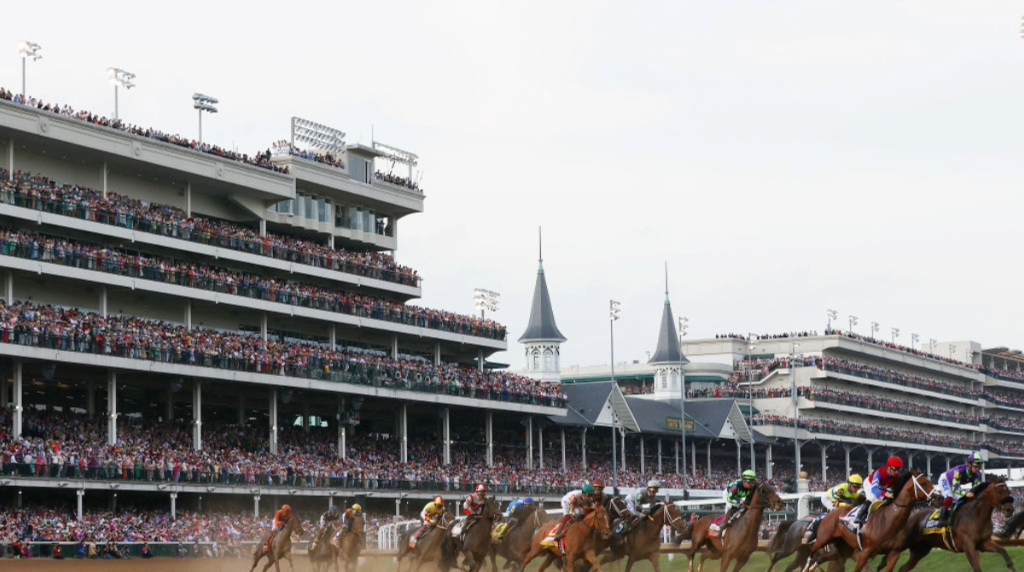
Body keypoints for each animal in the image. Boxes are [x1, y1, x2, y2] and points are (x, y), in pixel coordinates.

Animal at [802, 470, 937, 572]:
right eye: (923, 483)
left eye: (929, 482)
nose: (939, 497)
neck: (888, 520)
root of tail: (830, 513)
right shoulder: (865, 553)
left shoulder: (894, 554)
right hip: (823, 538)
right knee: (812, 552)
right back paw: (806, 567)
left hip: (842, 549)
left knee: (821, 558)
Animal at [880, 478, 1015, 572]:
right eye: (999, 491)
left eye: (1009, 490)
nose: (1010, 510)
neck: (975, 515)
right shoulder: (968, 547)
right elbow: (977, 568)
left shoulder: (983, 543)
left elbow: (1004, 552)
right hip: (900, 546)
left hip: (919, 551)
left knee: (903, 568)